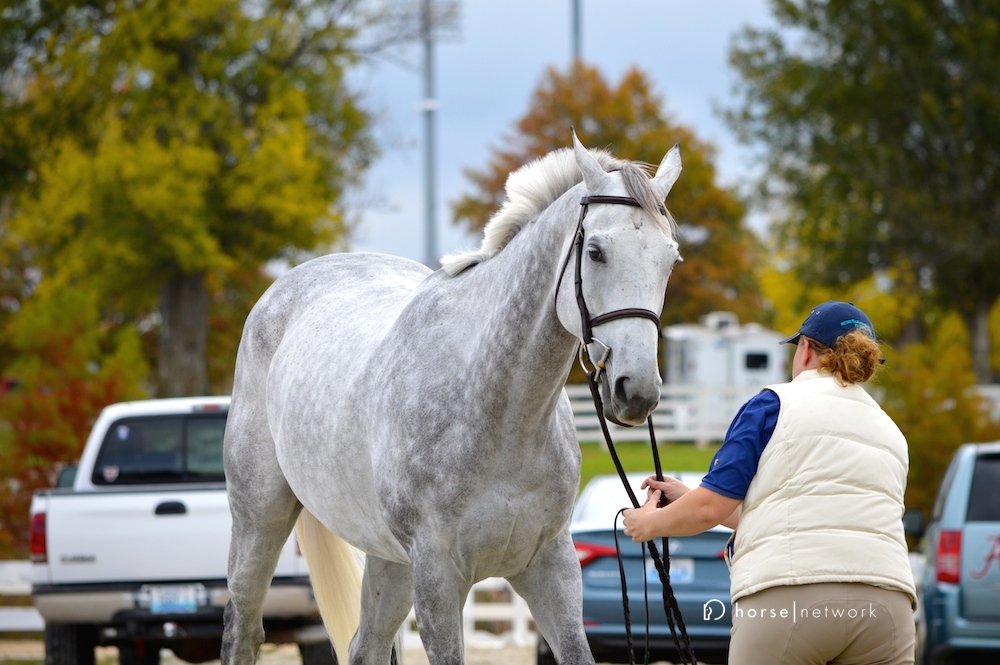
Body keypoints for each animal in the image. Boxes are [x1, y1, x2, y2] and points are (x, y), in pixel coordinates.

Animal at [221, 131, 683, 665]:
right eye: (596, 252)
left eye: (670, 259)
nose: (637, 389)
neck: (500, 414)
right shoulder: (438, 577)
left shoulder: (551, 566)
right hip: (259, 521)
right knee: (243, 629)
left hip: (390, 561)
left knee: (365, 645)